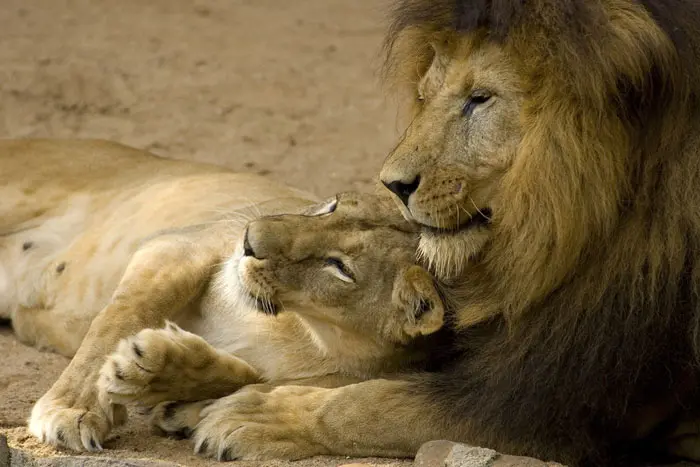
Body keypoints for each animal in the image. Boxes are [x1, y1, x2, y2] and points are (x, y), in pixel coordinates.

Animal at [0, 139, 446, 454]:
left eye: (339, 267)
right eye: (329, 207)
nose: (249, 239)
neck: (307, 333)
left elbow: (249, 378)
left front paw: (167, 378)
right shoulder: (181, 246)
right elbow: (119, 318)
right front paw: (71, 408)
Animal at [142, 0, 700, 467]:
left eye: (480, 99)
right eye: (426, 95)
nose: (393, 184)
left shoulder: (565, 402)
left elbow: (377, 403)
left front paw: (257, 414)